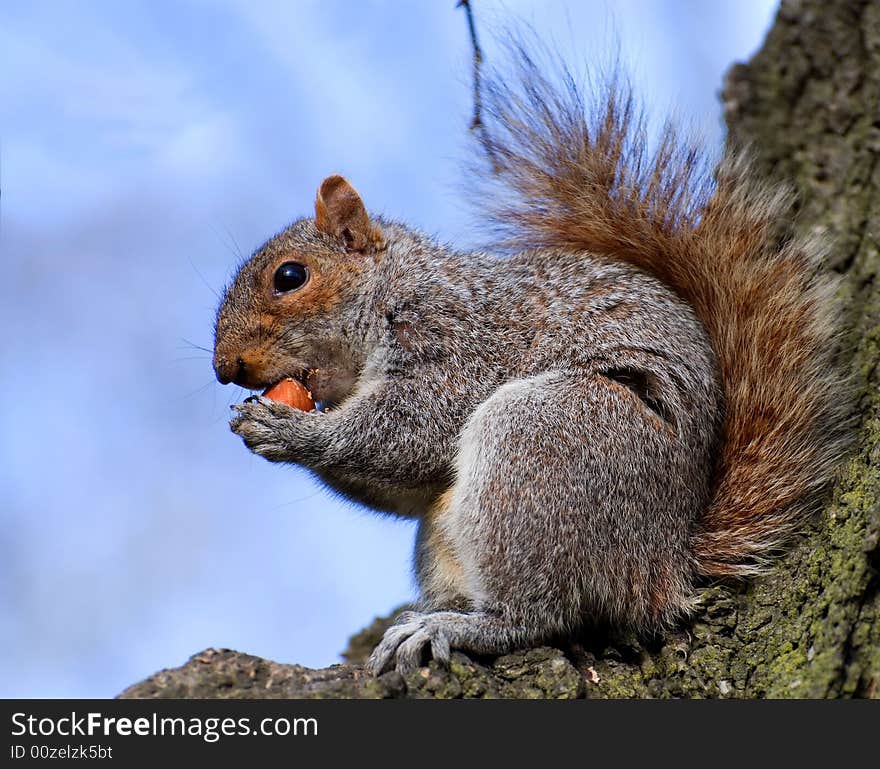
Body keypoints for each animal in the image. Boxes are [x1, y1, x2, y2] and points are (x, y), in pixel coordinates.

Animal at [210, 45, 848, 676]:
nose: (225, 368)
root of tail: (663, 561)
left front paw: (287, 430)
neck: (394, 291)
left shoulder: (457, 341)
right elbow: (408, 484)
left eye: (290, 277)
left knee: (538, 613)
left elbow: (412, 433)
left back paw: (459, 626)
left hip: (544, 446)